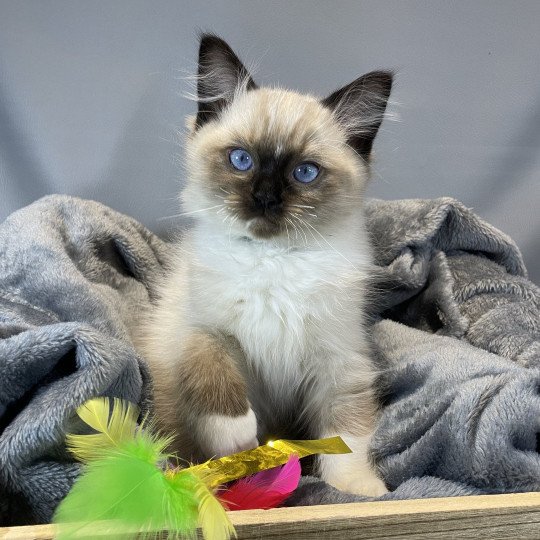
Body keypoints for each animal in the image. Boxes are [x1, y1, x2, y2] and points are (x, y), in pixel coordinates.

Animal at [138, 34, 392, 498]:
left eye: (305, 172)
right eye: (242, 160)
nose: (265, 198)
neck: (273, 260)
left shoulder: (339, 358)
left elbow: (347, 434)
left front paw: (358, 492)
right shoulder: (202, 330)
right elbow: (215, 377)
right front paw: (237, 441)